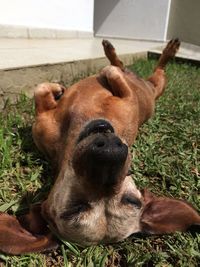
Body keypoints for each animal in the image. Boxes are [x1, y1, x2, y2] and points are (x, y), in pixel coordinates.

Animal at [0, 38, 200, 255]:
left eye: (132, 200)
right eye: (74, 209)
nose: (110, 152)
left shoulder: (127, 96)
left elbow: (44, 90)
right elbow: (42, 90)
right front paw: (59, 89)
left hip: (157, 88)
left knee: (154, 68)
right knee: (133, 67)